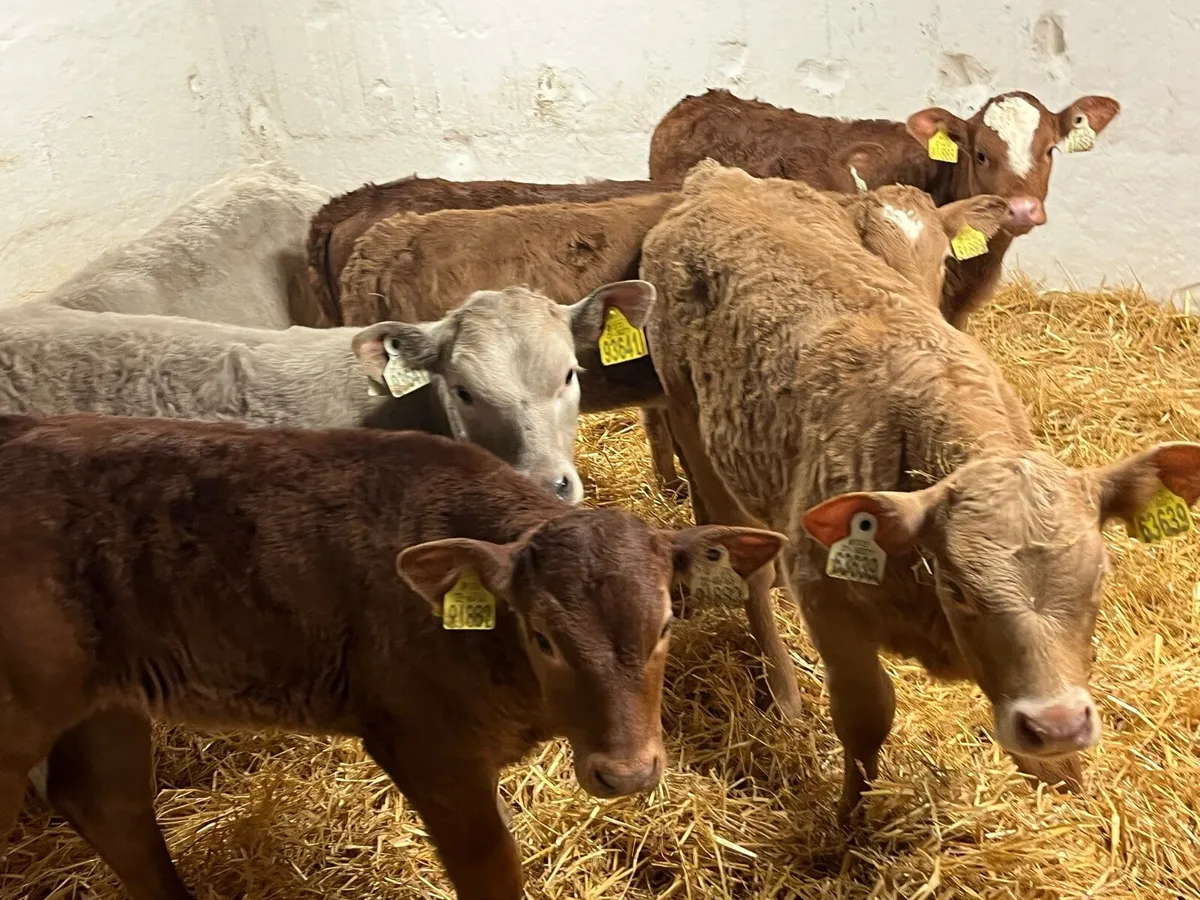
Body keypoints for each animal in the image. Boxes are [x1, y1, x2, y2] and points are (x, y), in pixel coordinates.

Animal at [0, 413, 786, 899]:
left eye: (665, 624)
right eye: (542, 636)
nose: (626, 774)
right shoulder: (424, 746)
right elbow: (492, 871)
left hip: (105, 698)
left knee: (107, 800)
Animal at [639, 161, 1200, 818]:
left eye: (1101, 578)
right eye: (959, 589)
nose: (1057, 723)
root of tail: (719, 178)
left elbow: (1052, 764)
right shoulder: (828, 601)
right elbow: (866, 716)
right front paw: (848, 821)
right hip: (688, 417)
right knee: (742, 560)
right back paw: (782, 691)